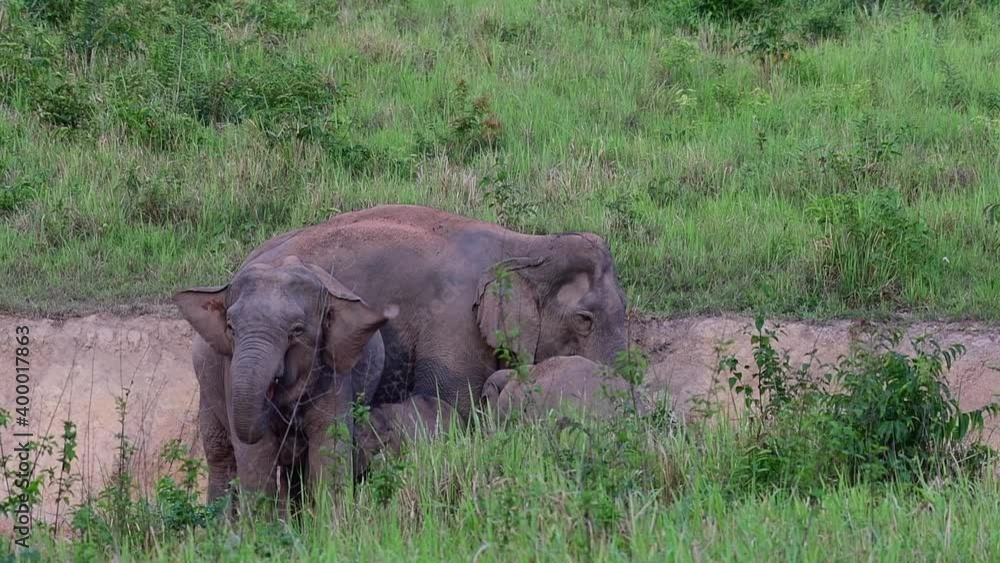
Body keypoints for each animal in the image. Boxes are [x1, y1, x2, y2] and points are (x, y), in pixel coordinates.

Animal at [174, 255, 398, 504]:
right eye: (230, 328)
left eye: (297, 330)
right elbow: (255, 455)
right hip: (207, 390)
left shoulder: (334, 372)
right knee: (220, 456)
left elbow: (330, 446)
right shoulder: (229, 371)